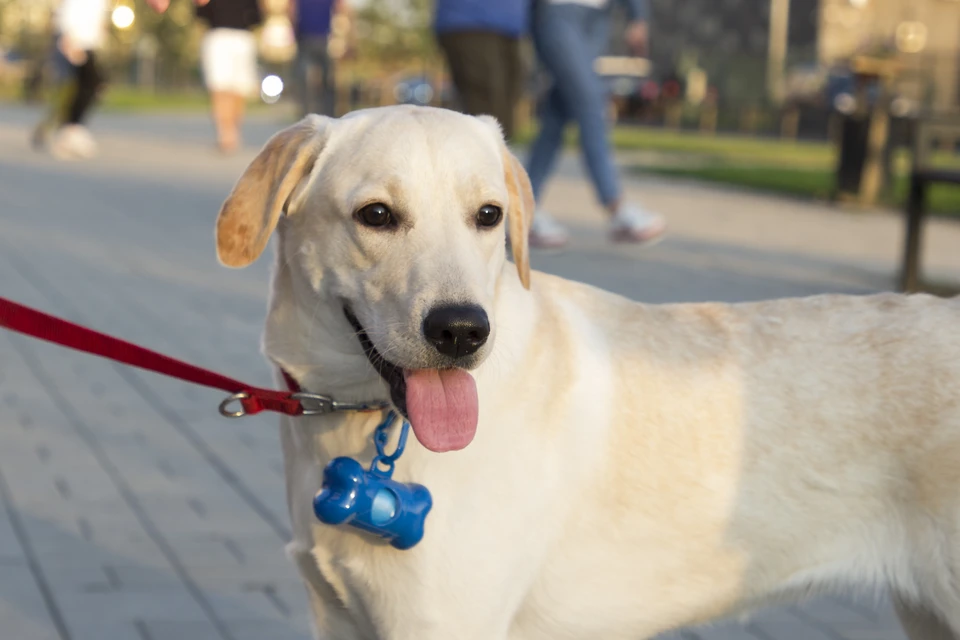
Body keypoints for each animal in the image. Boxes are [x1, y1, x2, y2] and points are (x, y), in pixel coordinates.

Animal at [216, 106, 960, 640]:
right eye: (375, 215)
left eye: (488, 215)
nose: (462, 331)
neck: (351, 419)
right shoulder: (340, 618)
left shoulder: (443, 623)